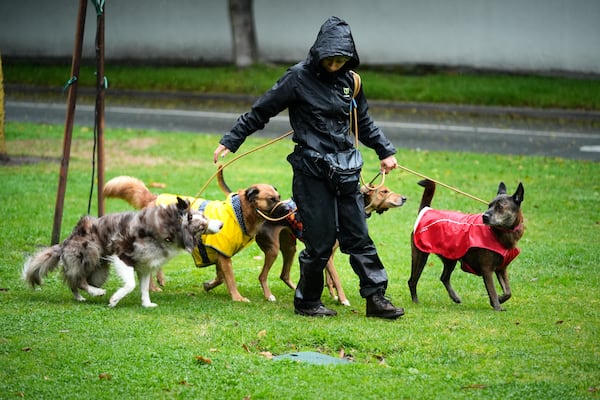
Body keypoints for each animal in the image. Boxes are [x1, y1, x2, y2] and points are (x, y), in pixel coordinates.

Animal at [21, 198, 224, 308]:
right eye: (204, 222)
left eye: (205, 217)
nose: (221, 224)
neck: (169, 229)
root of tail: (65, 241)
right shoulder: (122, 255)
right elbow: (131, 284)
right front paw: (114, 299)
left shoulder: (145, 266)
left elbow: (144, 288)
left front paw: (147, 304)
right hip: (91, 253)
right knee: (79, 279)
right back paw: (97, 292)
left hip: (99, 271)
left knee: (75, 281)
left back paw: (80, 297)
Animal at [103, 173, 282, 302]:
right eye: (271, 199)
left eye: (279, 197)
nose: (287, 208)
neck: (240, 213)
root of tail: (153, 199)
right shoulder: (224, 256)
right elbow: (230, 280)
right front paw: (238, 298)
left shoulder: (220, 255)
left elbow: (220, 278)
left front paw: (209, 285)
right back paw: (152, 287)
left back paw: (159, 280)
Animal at [408, 179, 524, 312]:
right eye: (489, 205)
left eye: (500, 207)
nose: (485, 216)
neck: (499, 233)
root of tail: (427, 210)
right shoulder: (487, 270)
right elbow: (493, 291)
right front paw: (497, 306)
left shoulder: (501, 269)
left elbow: (508, 292)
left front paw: (500, 299)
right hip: (420, 256)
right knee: (412, 281)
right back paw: (415, 301)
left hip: (450, 257)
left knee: (444, 277)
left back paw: (454, 297)